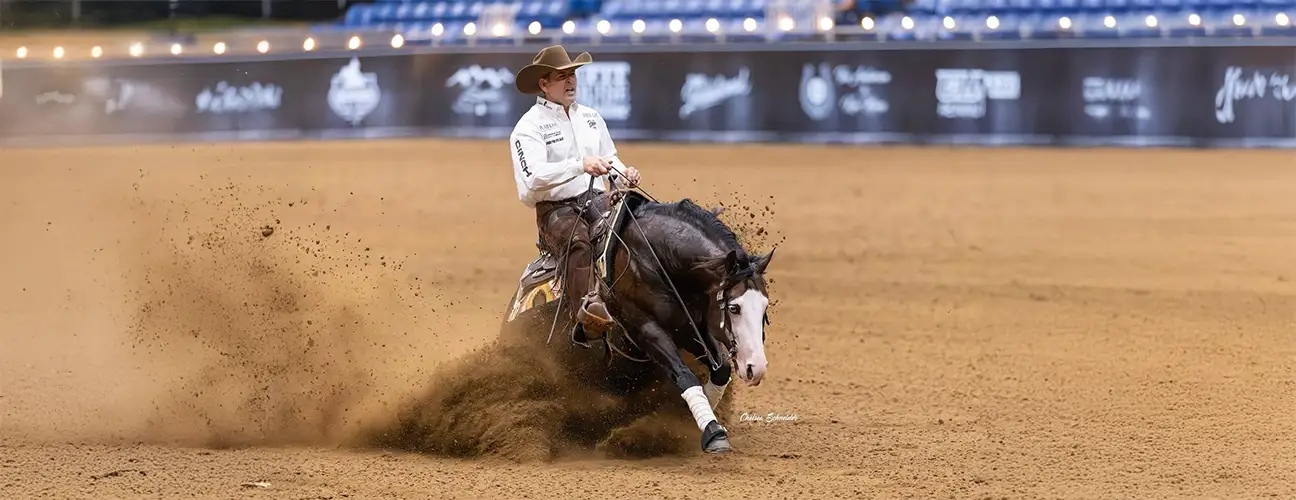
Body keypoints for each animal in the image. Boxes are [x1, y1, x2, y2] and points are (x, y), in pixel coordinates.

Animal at [500, 180, 776, 455]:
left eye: (764, 306)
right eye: (734, 307)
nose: (756, 368)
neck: (655, 257)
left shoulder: (690, 328)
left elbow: (721, 370)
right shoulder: (645, 329)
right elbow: (683, 374)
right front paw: (713, 432)